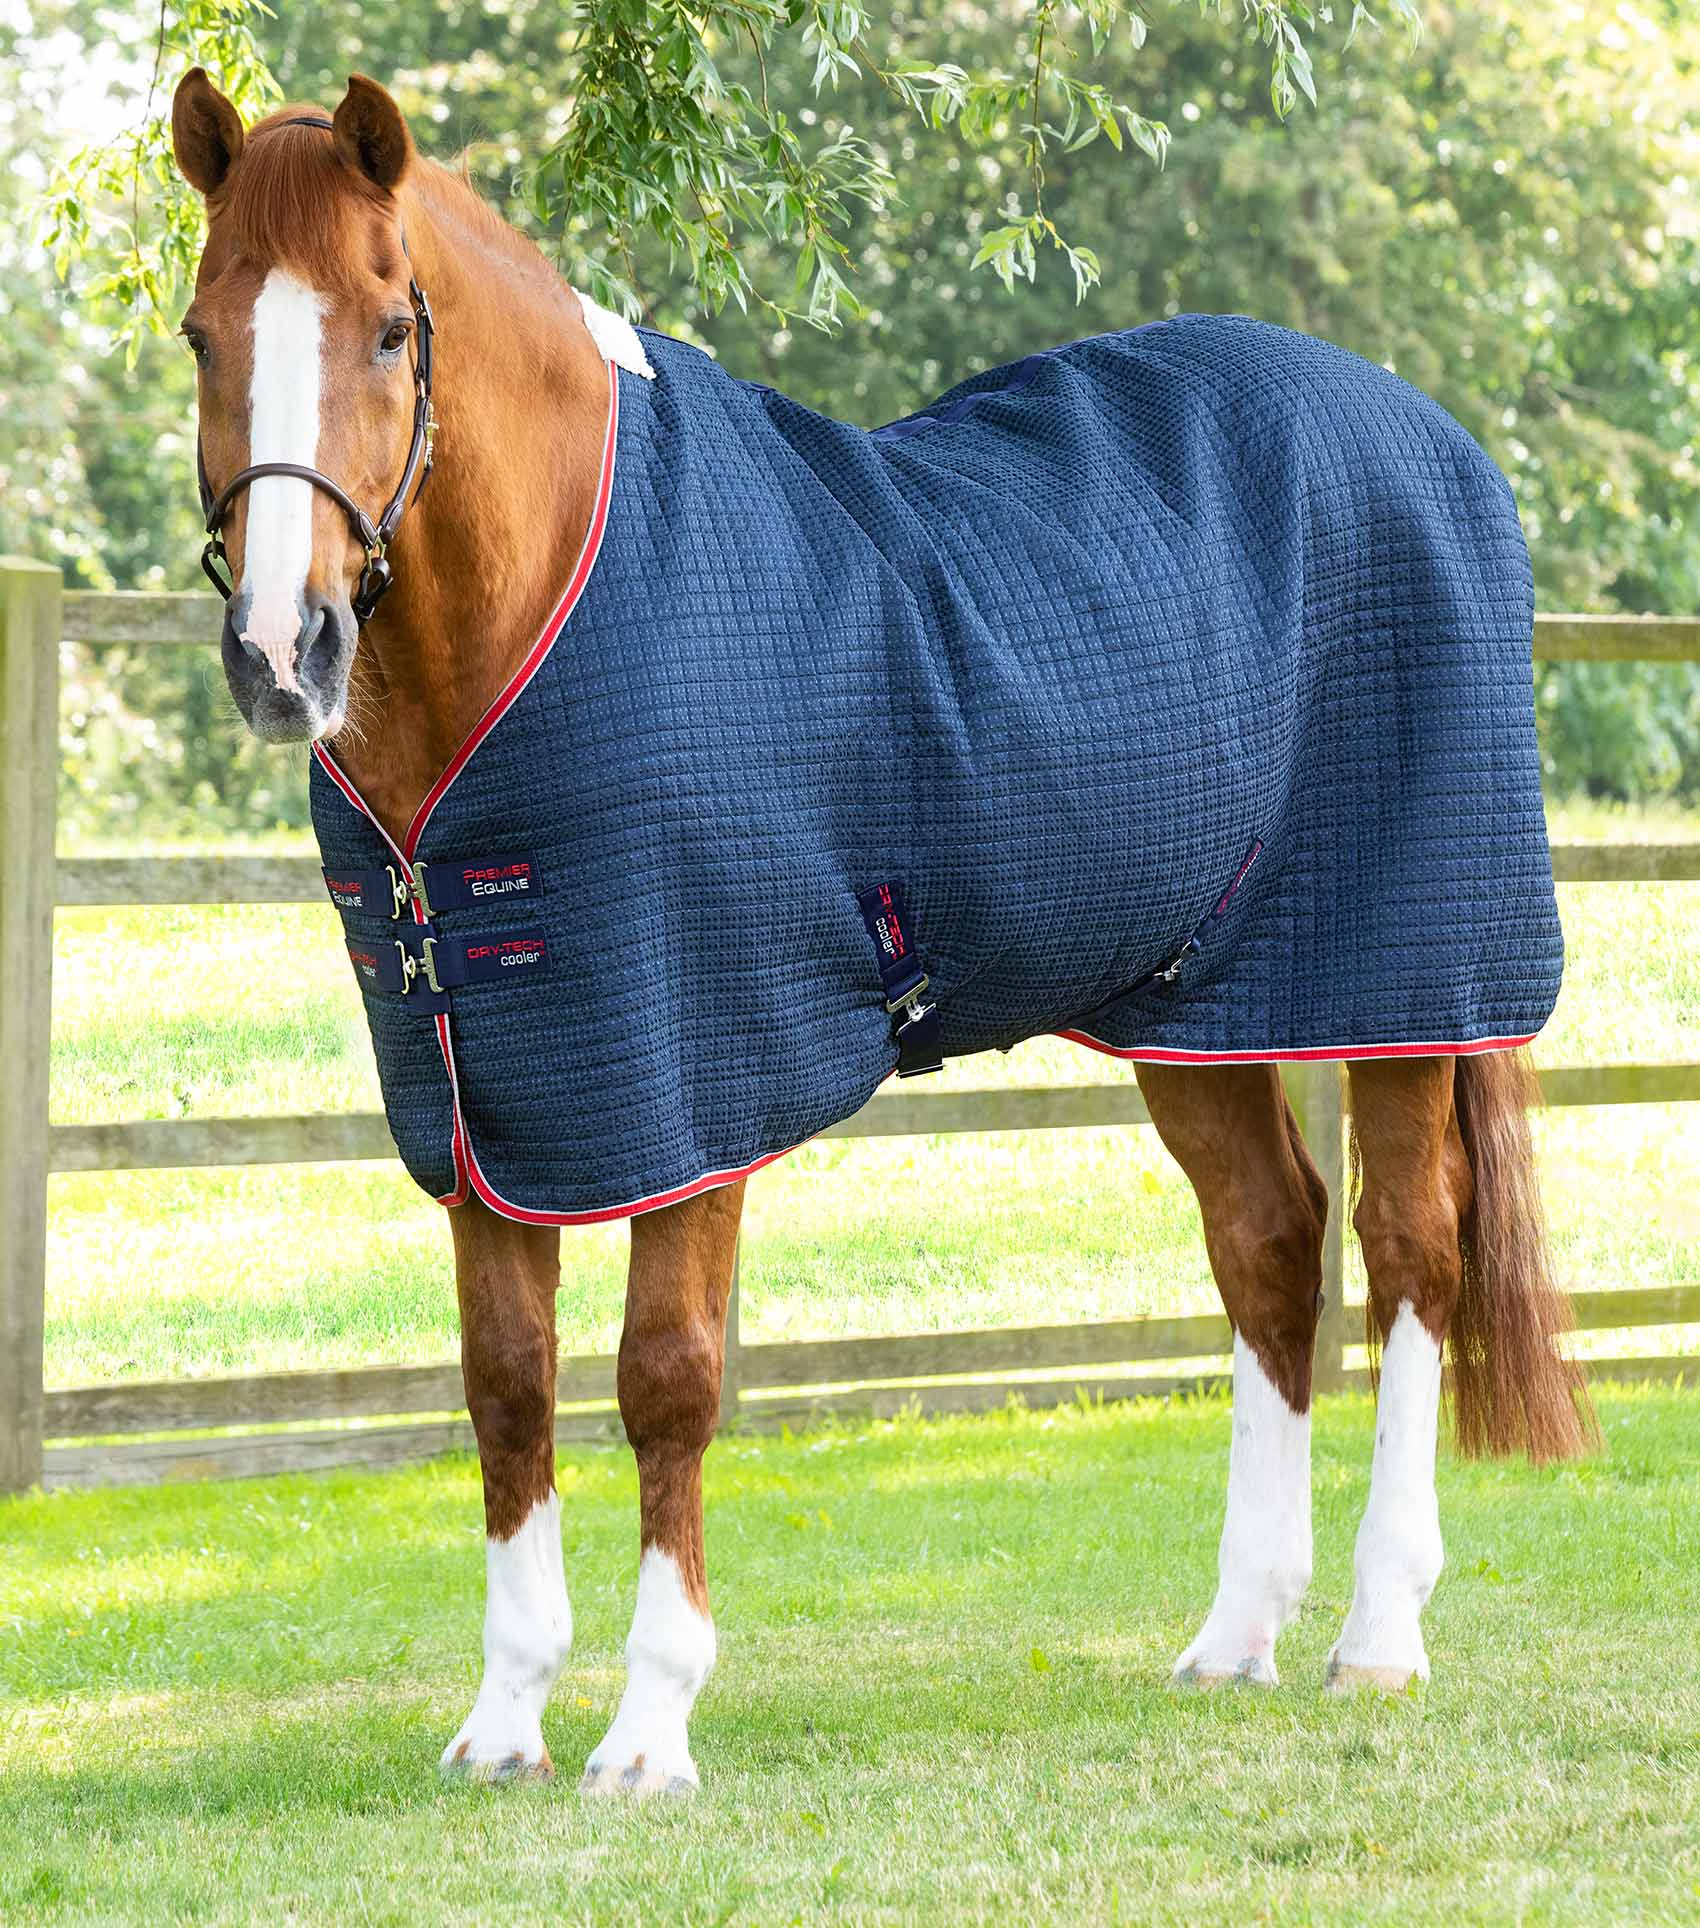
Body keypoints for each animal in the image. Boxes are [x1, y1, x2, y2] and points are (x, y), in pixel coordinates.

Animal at [169, 68, 1593, 1794]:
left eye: (388, 328)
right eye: (202, 332)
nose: (280, 653)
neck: (551, 602)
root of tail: (1433, 437)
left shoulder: (690, 1080)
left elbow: (666, 1378)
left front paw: (649, 1729)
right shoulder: (494, 1094)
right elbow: (506, 1385)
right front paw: (503, 1721)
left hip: (1396, 978)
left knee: (1407, 1252)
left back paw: (1378, 1636)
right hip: (1198, 1001)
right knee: (1269, 1243)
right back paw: (1236, 1635)